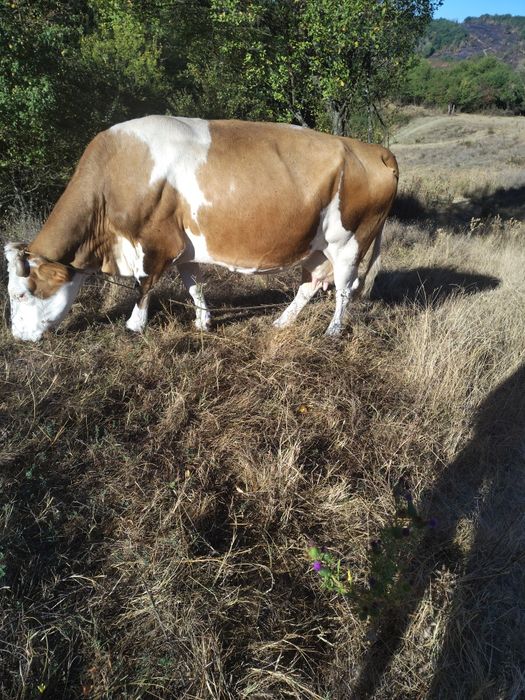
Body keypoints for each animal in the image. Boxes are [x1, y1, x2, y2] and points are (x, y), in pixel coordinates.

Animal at [5, 116, 398, 342]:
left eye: (21, 294)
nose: (17, 336)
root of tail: (373, 149)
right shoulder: (184, 247)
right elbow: (192, 284)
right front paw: (203, 322)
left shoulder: (155, 242)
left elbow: (144, 285)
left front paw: (134, 326)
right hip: (318, 247)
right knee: (310, 284)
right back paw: (281, 323)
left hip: (349, 243)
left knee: (345, 289)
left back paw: (333, 331)